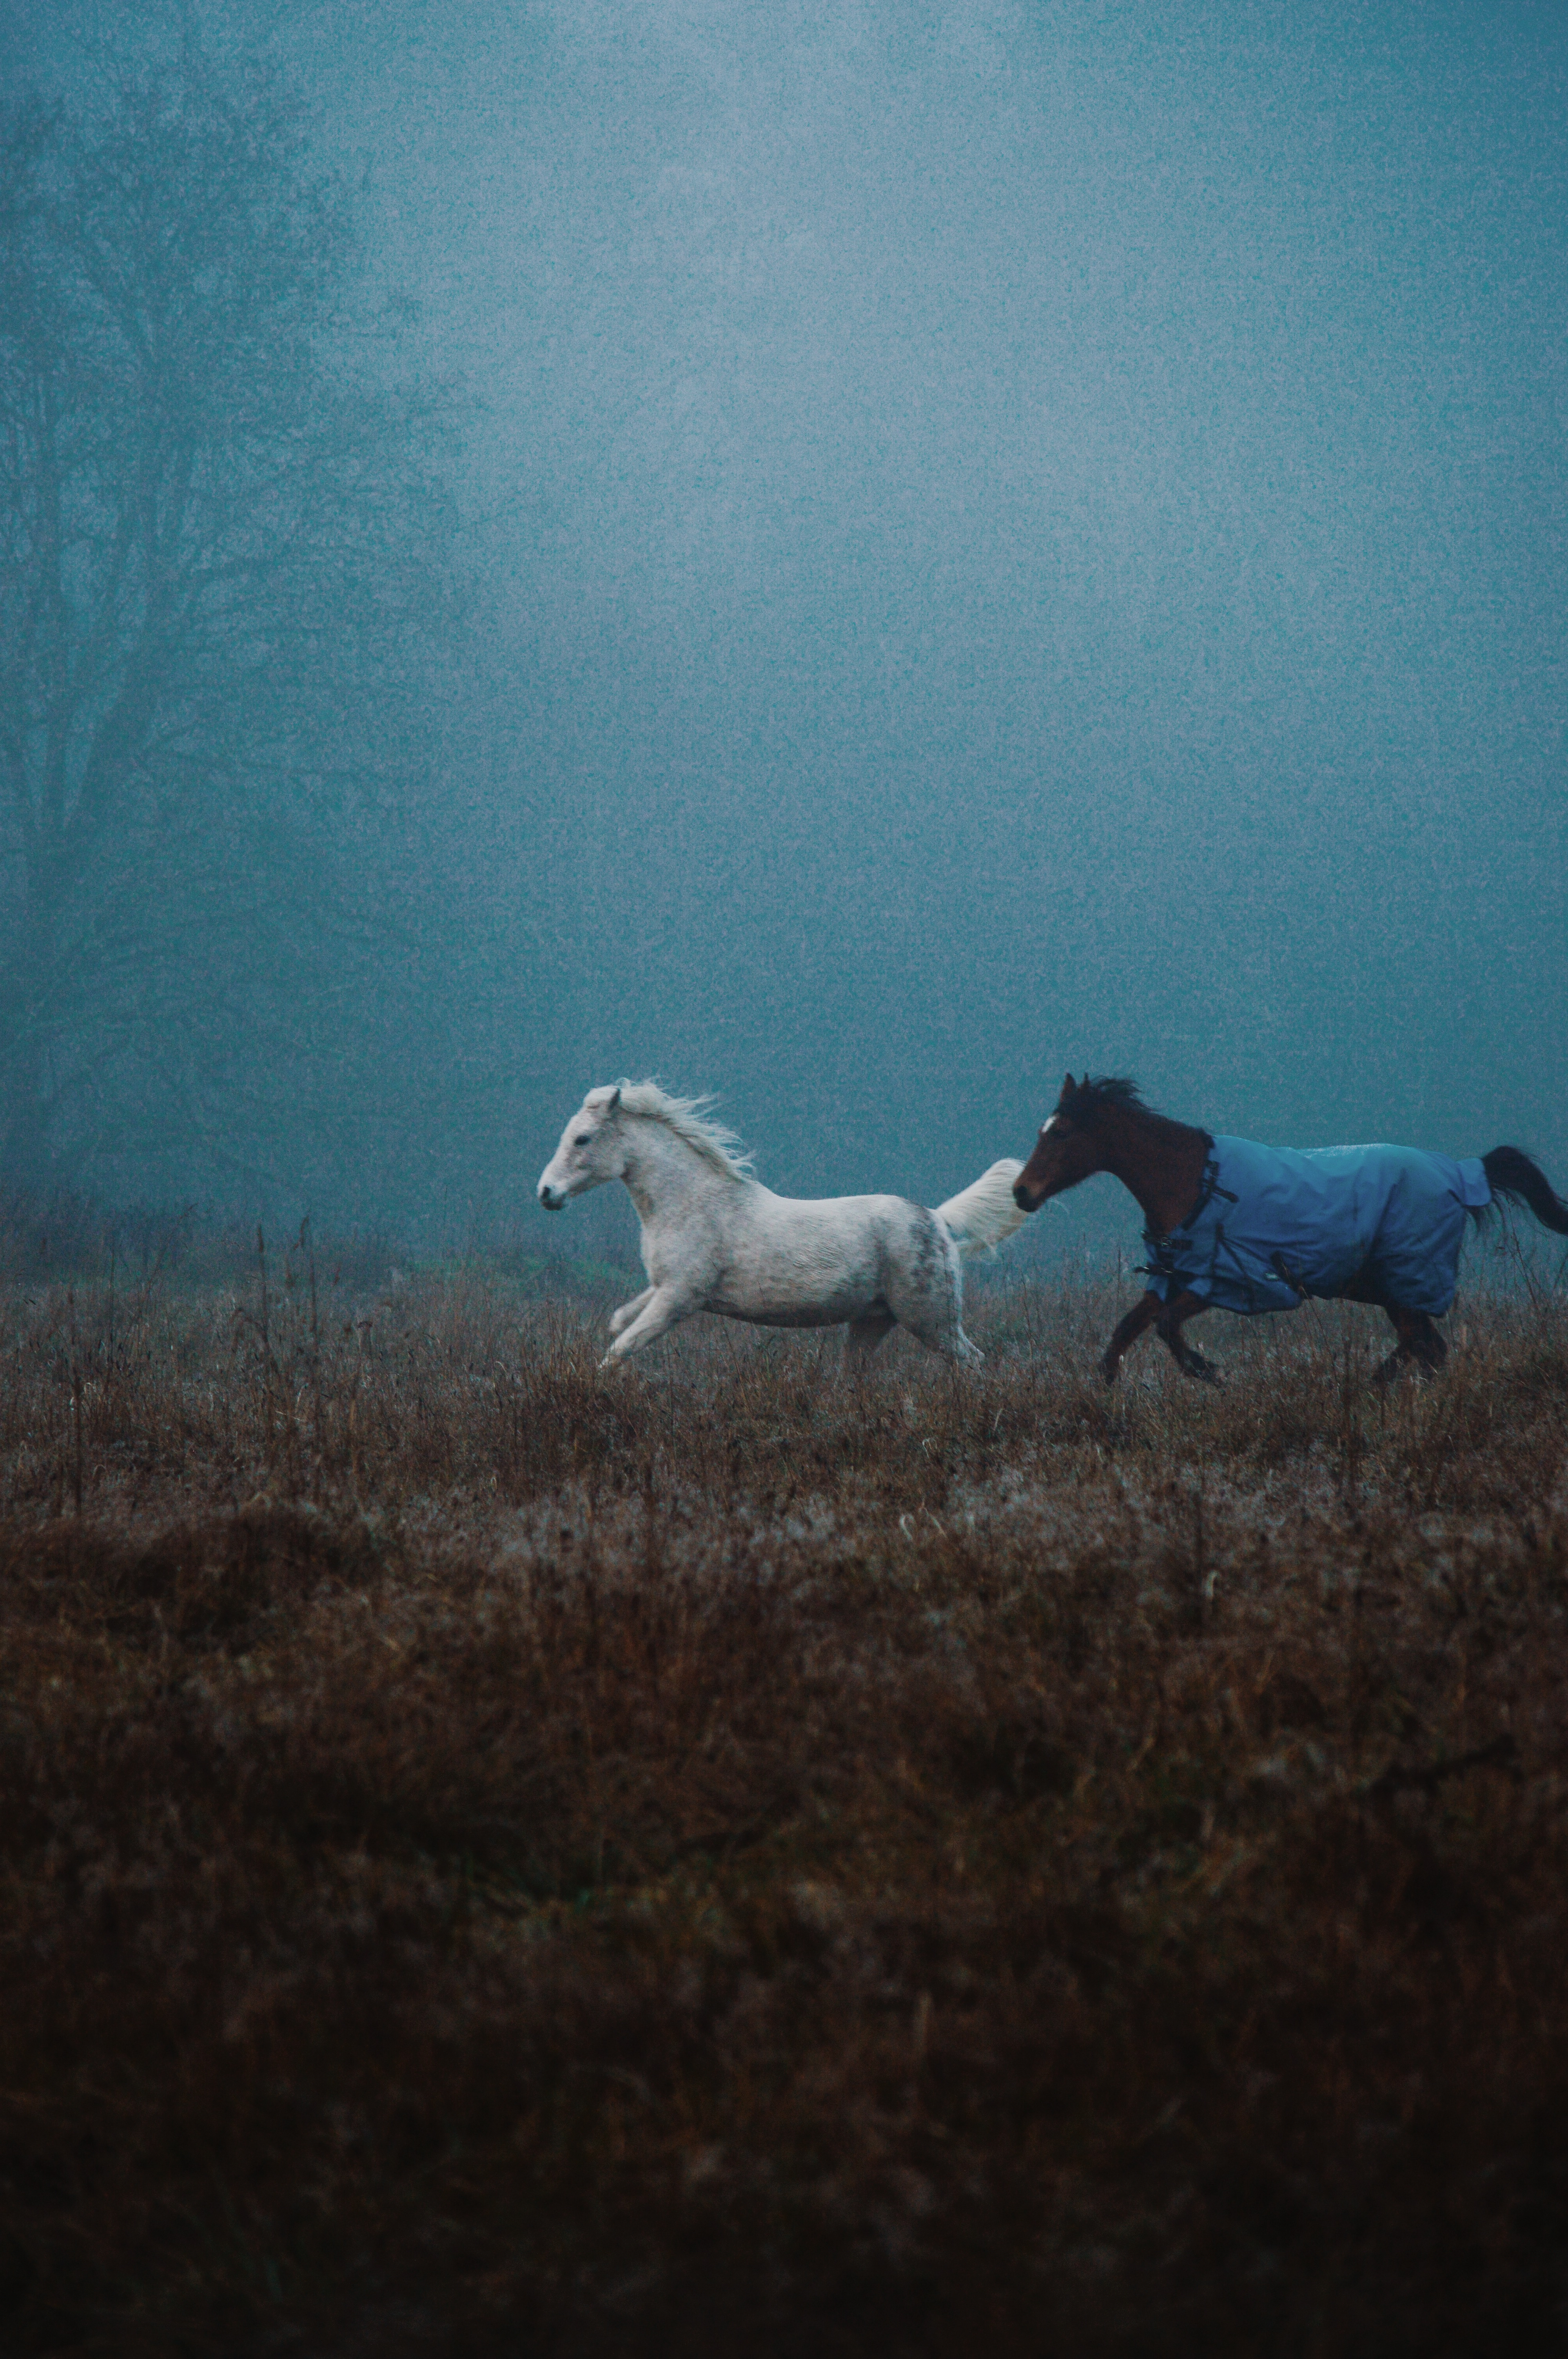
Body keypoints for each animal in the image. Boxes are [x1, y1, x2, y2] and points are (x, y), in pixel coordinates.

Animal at [538, 1082, 1028, 1370]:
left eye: (582, 1138)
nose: (547, 1193)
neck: (690, 1203)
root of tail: (938, 1218)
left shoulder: (680, 1297)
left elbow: (621, 1350)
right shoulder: (663, 1288)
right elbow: (620, 1323)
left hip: (931, 1320)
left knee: (972, 1361)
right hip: (873, 1321)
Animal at [1012, 1074, 1568, 1386]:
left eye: (1061, 1133)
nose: (1021, 1192)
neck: (1195, 1180)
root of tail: (1463, 1171)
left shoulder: (1224, 1282)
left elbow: (1167, 1328)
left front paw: (1210, 1372)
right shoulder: (1172, 1278)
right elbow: (1124, 1332)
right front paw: (1106, 1393)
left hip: (1406, 1284)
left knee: (1426, 1348)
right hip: (1389, 1289)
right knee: (1426, 1347)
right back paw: (1377, 1386)